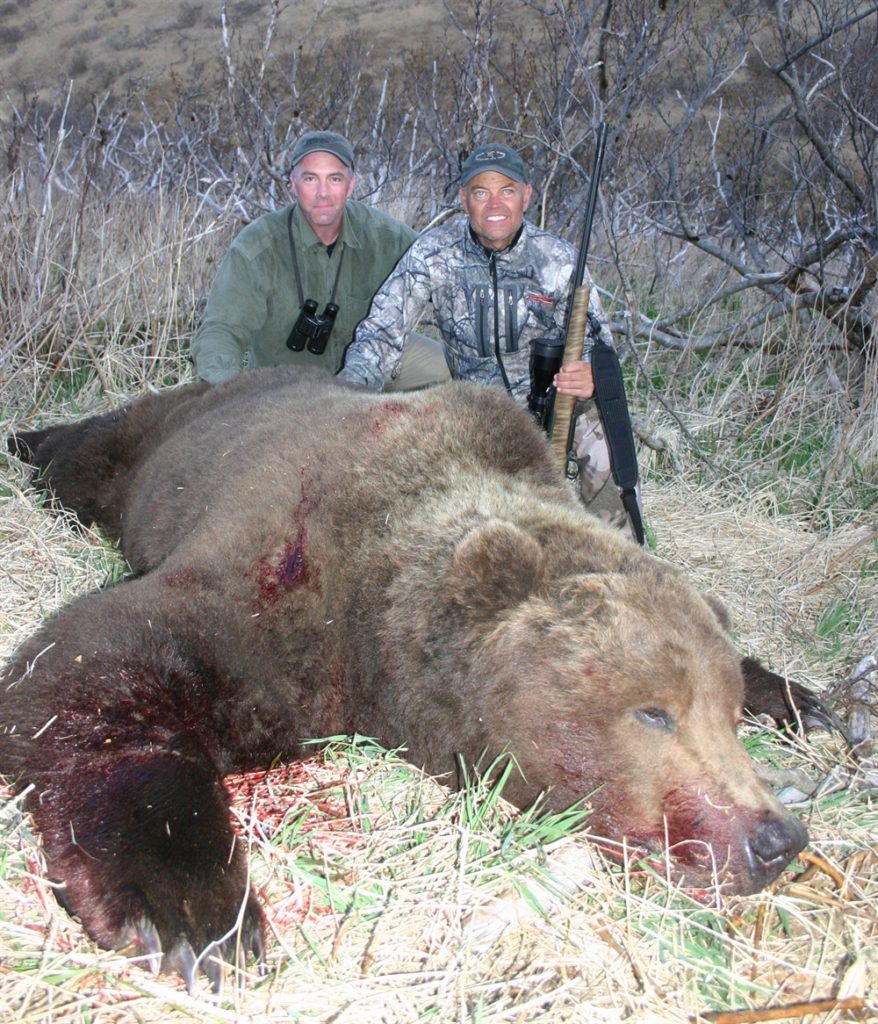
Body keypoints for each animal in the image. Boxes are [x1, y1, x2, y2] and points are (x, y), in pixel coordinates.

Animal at [1, 370, 823, 991]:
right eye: (654, 711)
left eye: (726, 713)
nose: (776, 840)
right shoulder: (287, 586)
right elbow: (96, 656)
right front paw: (194, 914)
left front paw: (800, 698)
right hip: (156, 444)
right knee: (85, 453)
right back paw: (25, 440)